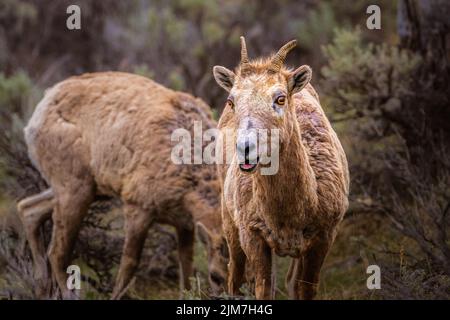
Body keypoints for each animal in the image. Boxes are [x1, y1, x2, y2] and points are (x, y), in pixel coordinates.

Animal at [17, 72, 229, 298]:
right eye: (215, 276)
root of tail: (35, 118)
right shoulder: (138, 203)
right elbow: (130, 263)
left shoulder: (184, 222)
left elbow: (186, 265)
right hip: (74, 185)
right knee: (56, 252)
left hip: (89, 188)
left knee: (28, 208)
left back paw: (41, 284)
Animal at [213, 38, 350, 300]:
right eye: (231, 101)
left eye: (280, 98)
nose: (245, 148)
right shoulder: (253, 236)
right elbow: (263, 289)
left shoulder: (324, 237)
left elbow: (304, 289)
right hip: (229, 222)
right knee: (234, 276)